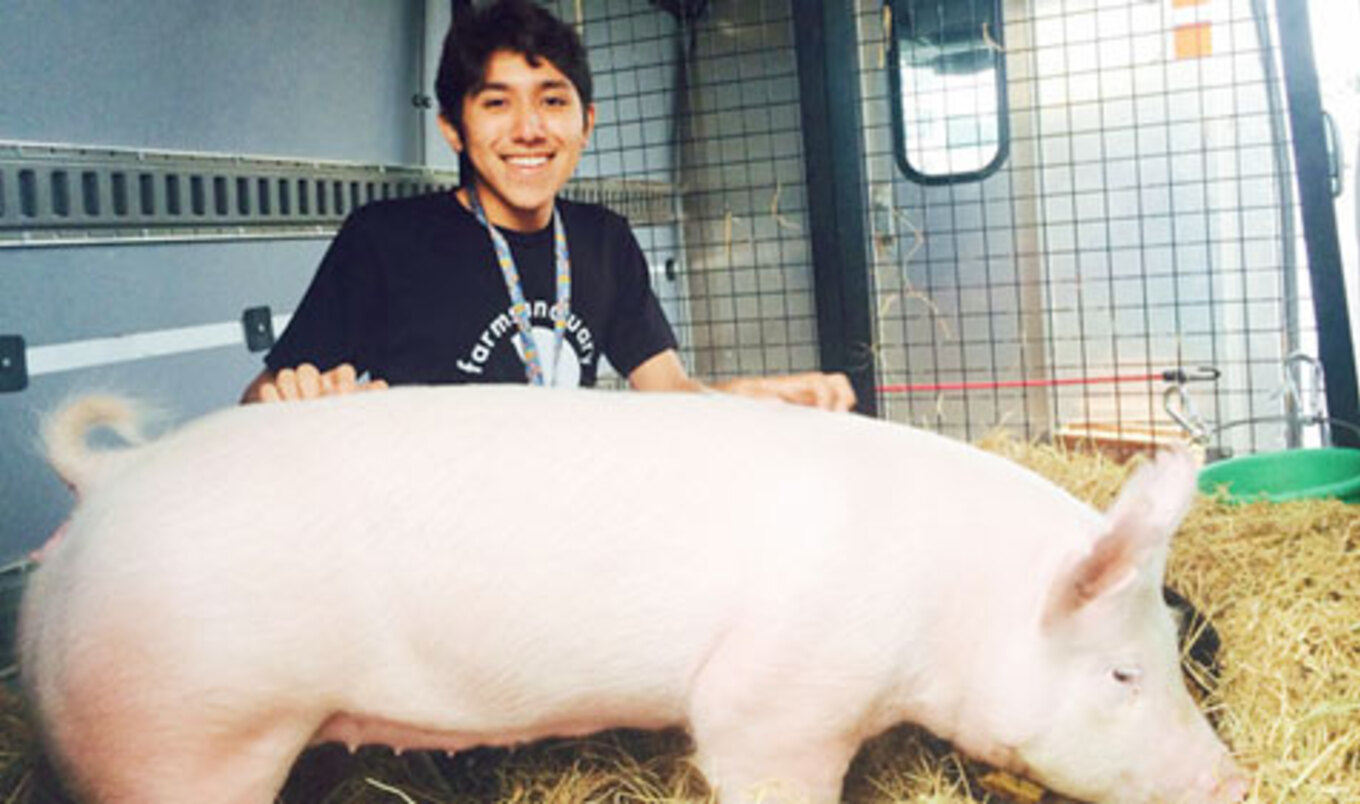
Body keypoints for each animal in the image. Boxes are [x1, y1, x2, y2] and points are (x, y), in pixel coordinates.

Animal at [19, 385, 1249, 804]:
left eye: (1172, 655)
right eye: (1121, 672)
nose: (1232, 782)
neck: (948, 602)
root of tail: (110, 479)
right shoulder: (774, 703)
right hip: (181, 738)